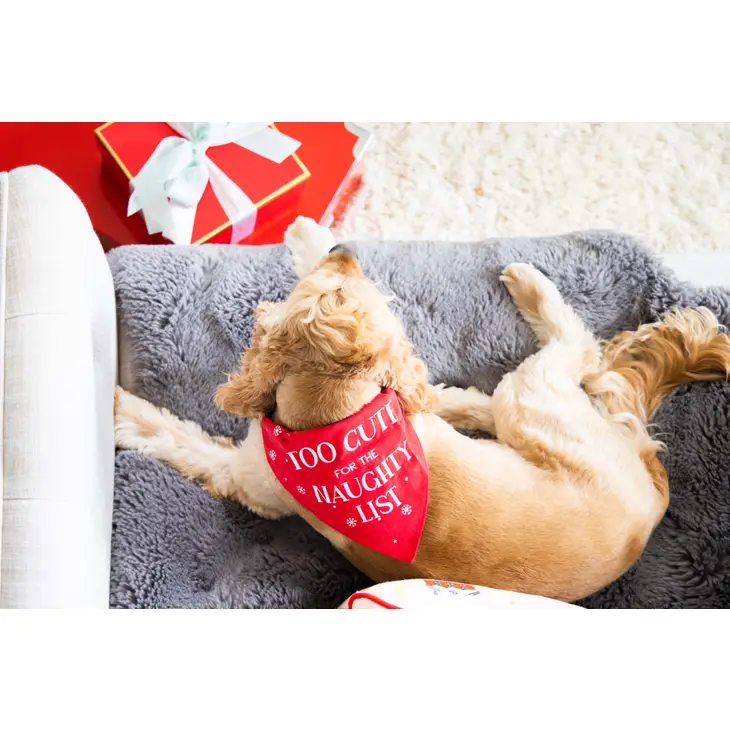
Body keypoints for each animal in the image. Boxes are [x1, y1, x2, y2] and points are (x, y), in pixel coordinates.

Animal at [114, 218, 728, 604]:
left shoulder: (249, 481)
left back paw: (531, 283)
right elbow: (443, 396)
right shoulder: (410, 403)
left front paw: (121, 410)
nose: (344, 251)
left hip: (530, 398)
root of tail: (653, 488)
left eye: (339, 279)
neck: (338, 412)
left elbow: (176, 439)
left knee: (579, 348)